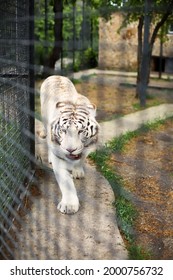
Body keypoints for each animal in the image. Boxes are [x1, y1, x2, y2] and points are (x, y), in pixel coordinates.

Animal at [40, 75, 99, 213]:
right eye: (63, 130)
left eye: (81, 131)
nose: (70, 149)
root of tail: (56, 75)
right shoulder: (59, 155)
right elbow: (66, 182)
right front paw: (69, 205)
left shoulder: (86, 149)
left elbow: (80, 159)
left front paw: (78, 171)